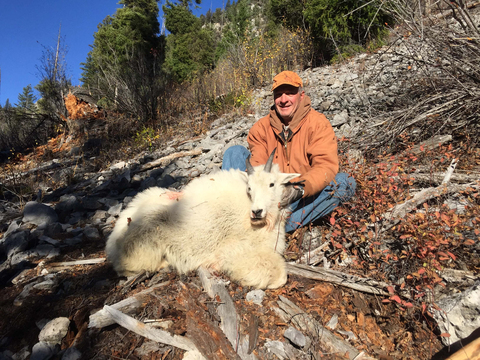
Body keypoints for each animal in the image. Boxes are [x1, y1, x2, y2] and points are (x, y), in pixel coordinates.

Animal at [107, 149, 298, 290]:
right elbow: (280, 275)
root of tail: (112, 243)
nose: (257, 212)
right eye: (249, 188)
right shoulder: (235, 249)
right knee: (126, 267)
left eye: (272, 184)